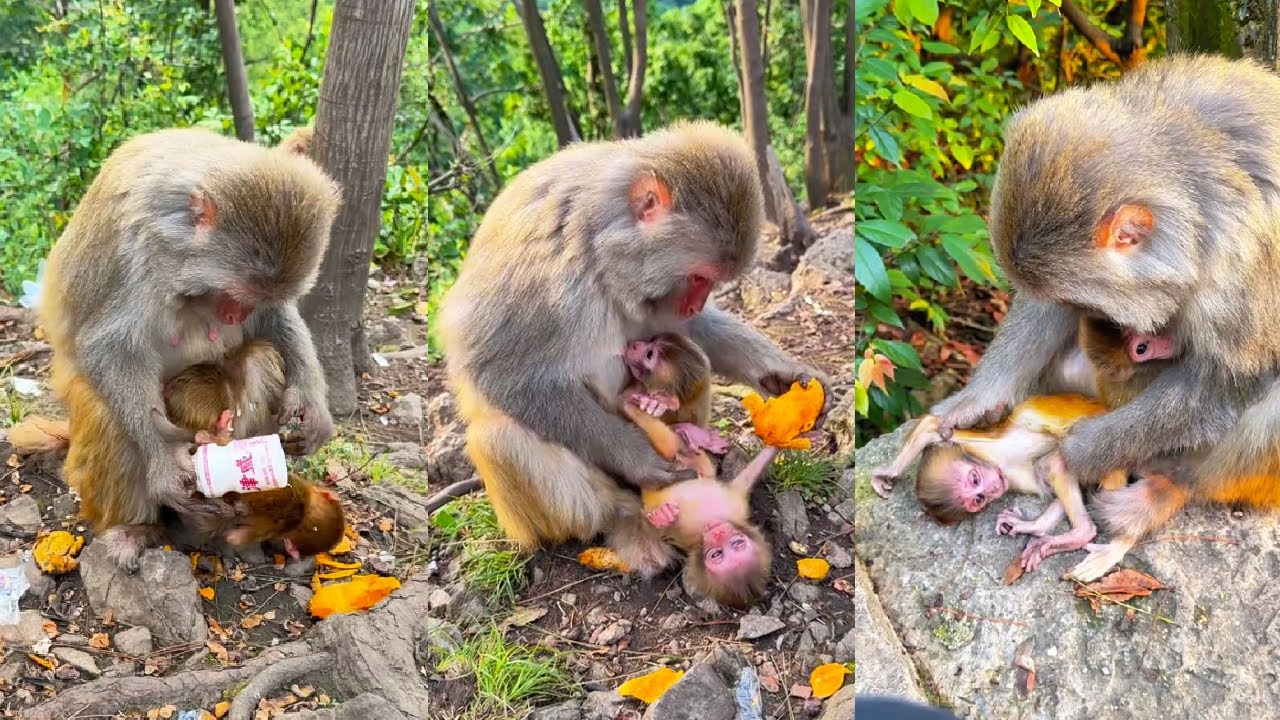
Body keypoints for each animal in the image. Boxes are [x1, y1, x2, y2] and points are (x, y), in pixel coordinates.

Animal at [38, 127, 340, 570]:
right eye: (231, 292)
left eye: (250, 299)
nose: (234, 315)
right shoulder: (142, 252)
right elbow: (110, 346)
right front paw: (165, 463)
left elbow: (274, 318)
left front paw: (312, 404)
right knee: (110, 414)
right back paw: (137, 528)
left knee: (259, 358)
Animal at [438, 121, 831, 577]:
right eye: (699, 277)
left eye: (711, 281)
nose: (695, 303)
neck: (597, 245)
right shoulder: (544, 274)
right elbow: (502, 376)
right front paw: (638, 458)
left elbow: (683, 330)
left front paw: (789, 376)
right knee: (498, 436)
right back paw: (626, 519)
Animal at [924, 55, 1280, 580]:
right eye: (1079, 304)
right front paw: (975, 402)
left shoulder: (1241, 267)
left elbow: (1225, 380)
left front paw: (1074, 454)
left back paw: (1160, 493)